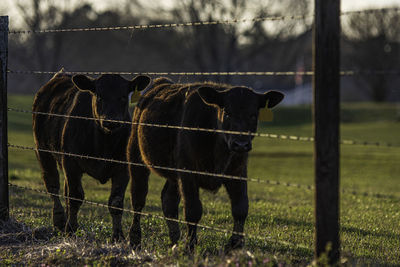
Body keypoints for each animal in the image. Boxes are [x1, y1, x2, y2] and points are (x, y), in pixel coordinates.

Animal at [32, 70, 151, 242]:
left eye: (123, 96)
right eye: (99, 96)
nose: (111, 121)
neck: (104, 143)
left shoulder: (122, 168)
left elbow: (115, 202)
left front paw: (118, 236)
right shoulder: (71, 162)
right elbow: (75, 197)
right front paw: (71, 230)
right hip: (42, 150)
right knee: (52, 185)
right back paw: (60, 221)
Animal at [126, 77, 282, 251]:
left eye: (253, 115)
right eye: (227, 113)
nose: (241, 144)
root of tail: (161, 83)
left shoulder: (238, 172)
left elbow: (240, 208)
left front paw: (236, 244)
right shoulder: (188, 173)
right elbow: (193, 210)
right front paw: (190, 246)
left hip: (174, 174)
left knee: (168, 201)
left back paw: (175, 241)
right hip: (136, 157)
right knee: (138, 199)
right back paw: (135, 240)